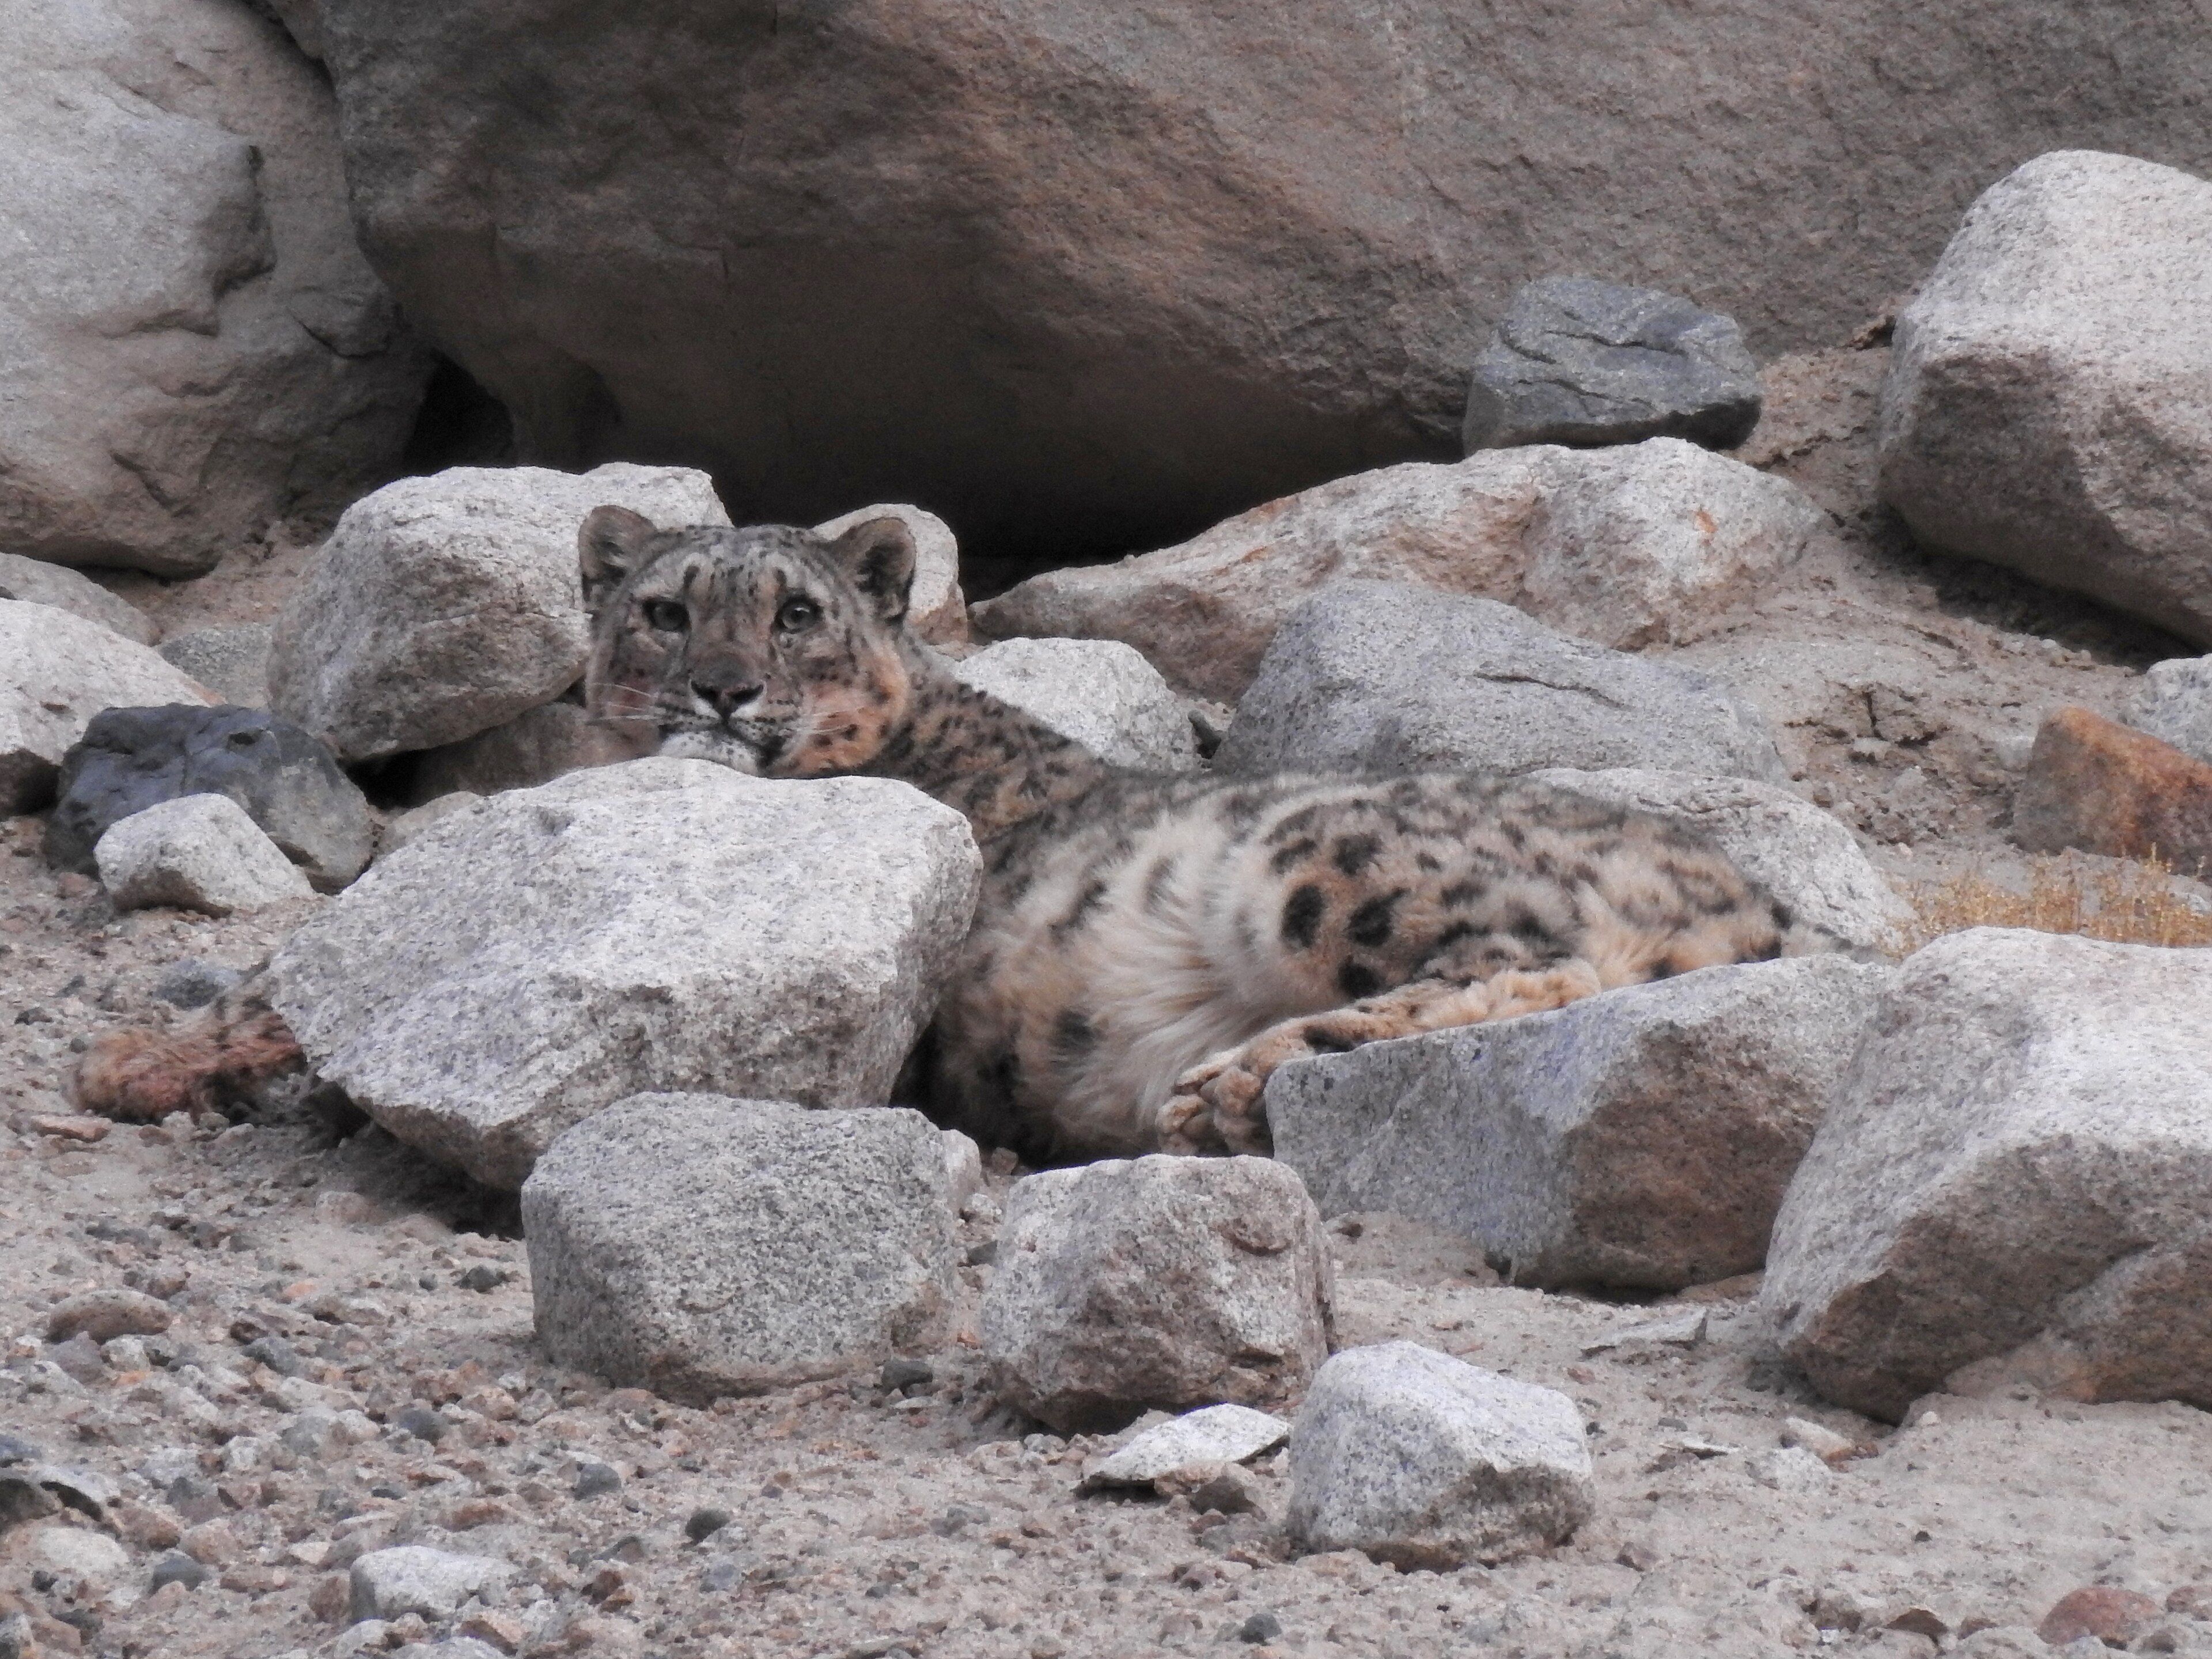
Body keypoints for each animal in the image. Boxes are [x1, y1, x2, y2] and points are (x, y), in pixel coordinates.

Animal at [75, 507, 1833, 1162]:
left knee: (1533, 966)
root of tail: (1741, 890)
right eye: (663, 608)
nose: (719, 689)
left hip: (1332, 861)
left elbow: (306, 987)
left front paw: (144, 1052)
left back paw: (1233, 1080)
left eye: (795, 611)